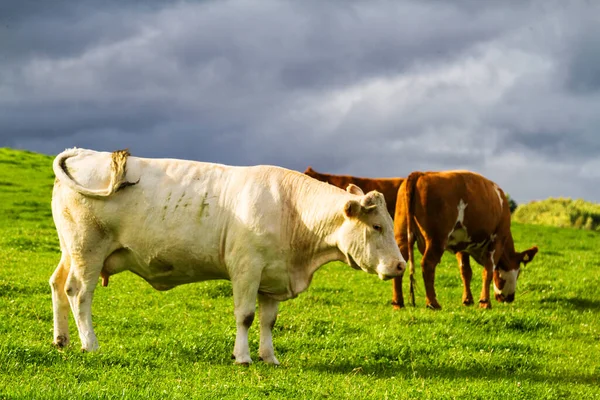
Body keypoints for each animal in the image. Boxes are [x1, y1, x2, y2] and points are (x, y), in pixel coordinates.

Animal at [50, 148, 408, 364]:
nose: (400, 265)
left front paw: (269, 357)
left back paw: (61, 339)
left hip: (70, 251)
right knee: (79, 293)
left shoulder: (272, 275)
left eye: (388, 225)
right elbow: (246, 316)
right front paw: (243, 357)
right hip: (88, 251)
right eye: (377, 226)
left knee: (58, 286)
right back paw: (90, 344)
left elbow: (268, 320)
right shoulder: (247, 268)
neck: (291, 210)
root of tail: (84, 152)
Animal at [394, 169, 540, 310]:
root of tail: (420, 174)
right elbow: (488, 271)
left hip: (401, 237)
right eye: (519, 272)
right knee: (428, 264)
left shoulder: (462, 245)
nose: (510, 298)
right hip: (436, 239)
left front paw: (467, 300)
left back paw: (398, 303)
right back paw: (433, 303)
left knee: (399, 263)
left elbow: (465, 272)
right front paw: (485, 302)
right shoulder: (497, 240)